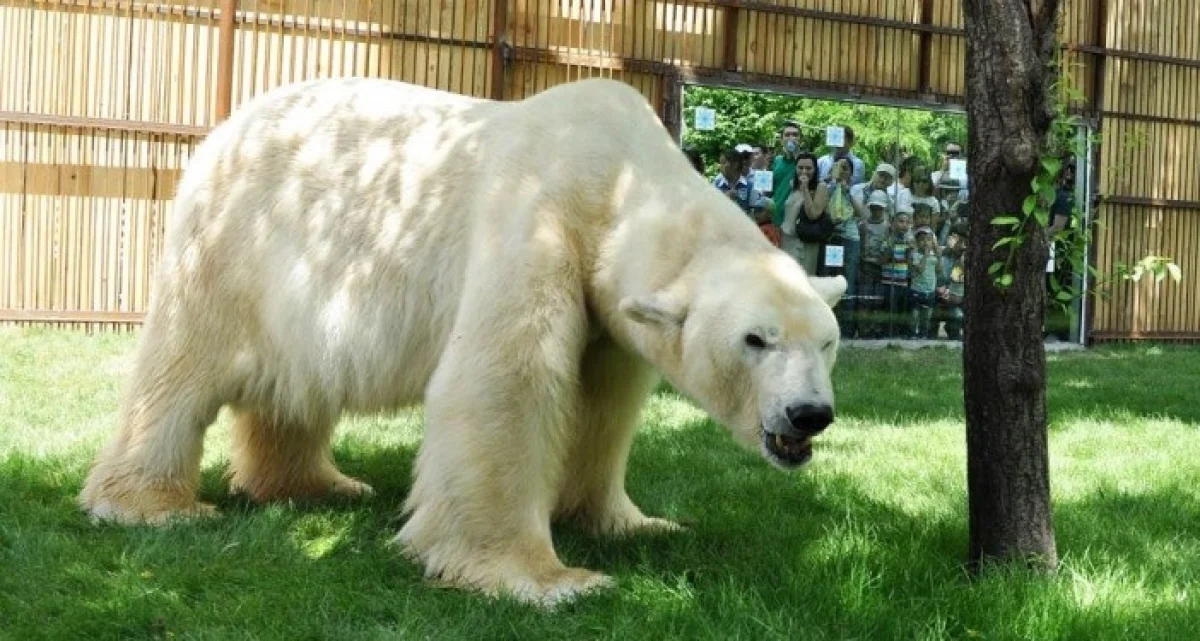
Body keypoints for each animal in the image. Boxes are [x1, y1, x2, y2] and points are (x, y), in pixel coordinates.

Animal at [77, 76, 844, 607]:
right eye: (755, 339)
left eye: (827, 342)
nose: (809, 414)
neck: (617, 179)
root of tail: (224, 130)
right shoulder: (534, 223)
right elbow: (505, 383)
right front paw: (552, 578)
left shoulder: (607, 311)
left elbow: (602, 404)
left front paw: (636, 523)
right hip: (237, 243)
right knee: (182, 366)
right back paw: (152, 505)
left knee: (296, 386)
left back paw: (318, 483)